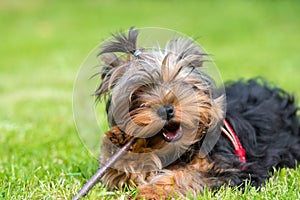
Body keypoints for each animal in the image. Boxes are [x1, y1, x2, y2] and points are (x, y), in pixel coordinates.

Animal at [94, 27, 300, 198]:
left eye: (181, 86)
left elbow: (190, 175)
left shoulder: (235, 169)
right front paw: (121, 140)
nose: (166, 109)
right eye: (139, 92)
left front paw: (152, 192)